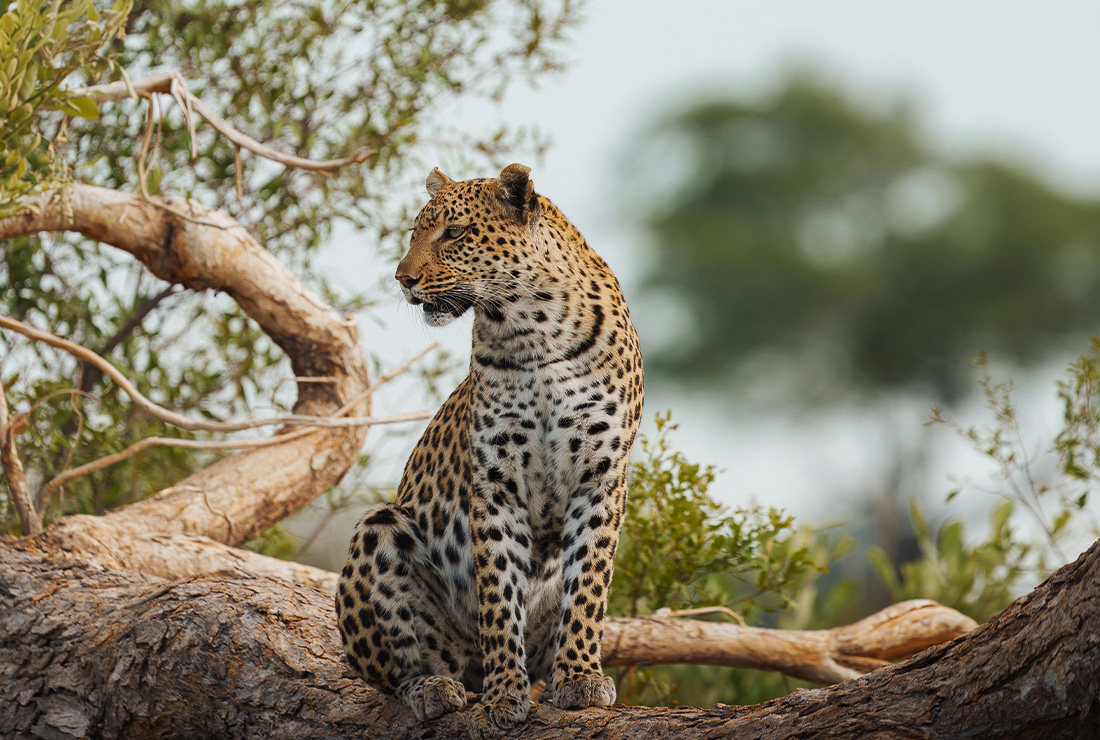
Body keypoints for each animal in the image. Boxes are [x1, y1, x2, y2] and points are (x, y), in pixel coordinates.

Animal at [335, 163, 644, 739]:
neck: (533, 328)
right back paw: (436, 688)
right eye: (414, 233)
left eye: (453, 233)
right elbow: (499, 596)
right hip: (379, 530)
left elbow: (587, 586)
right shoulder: (496, 483)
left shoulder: (600, 477)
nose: (402, 279)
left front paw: (581, 677)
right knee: (393, 670)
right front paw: (503, 697)